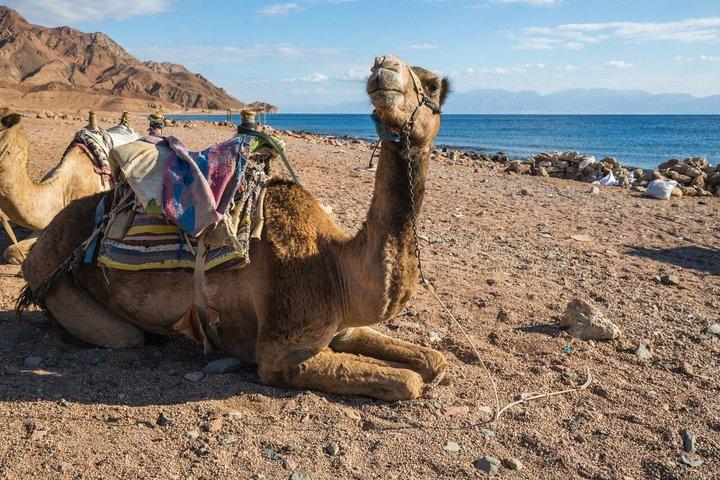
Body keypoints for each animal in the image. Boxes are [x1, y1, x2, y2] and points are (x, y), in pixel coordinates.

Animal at [21, 54, 452, 401]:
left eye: (432, 83)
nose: (384, 64)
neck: (335, 263)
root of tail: (39, 246)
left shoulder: (340, 327)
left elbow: (434, 359)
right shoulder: (283, 349)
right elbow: (409, 381)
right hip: (56, 282)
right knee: (124, 336)